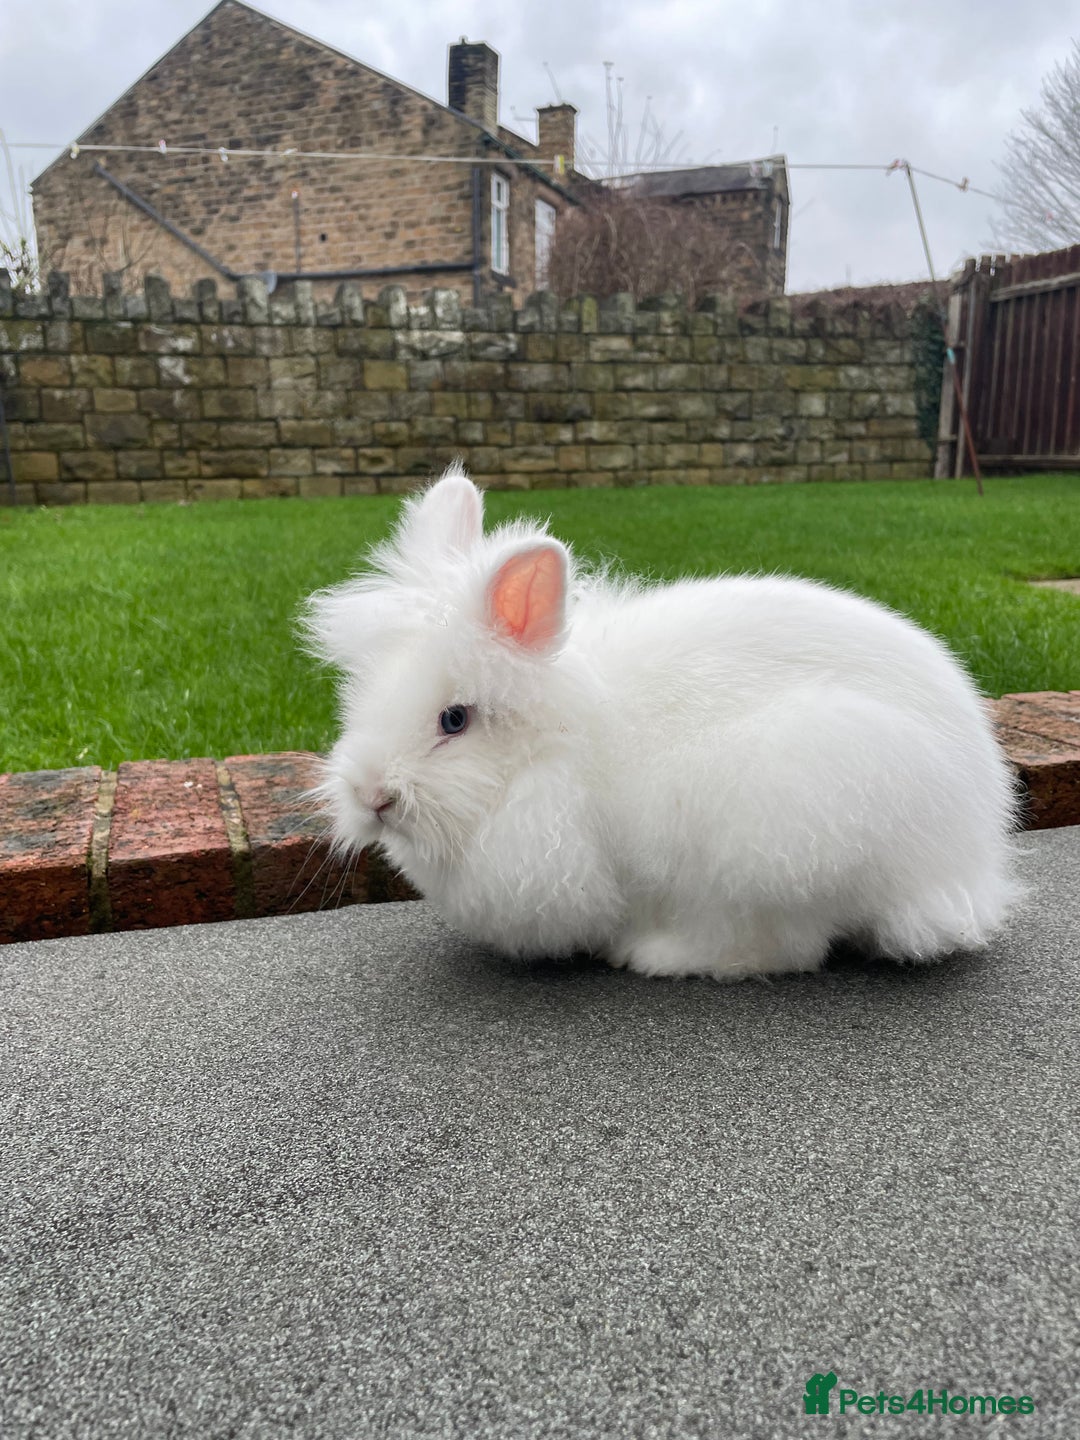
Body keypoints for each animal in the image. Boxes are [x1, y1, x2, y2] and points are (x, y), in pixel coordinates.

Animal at [302, 464, 1020, 980]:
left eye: (454, 720)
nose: (372, 796)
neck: (552, 749)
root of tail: (968, 858)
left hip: (778, 827)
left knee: (787, 947)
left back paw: (657, 956)